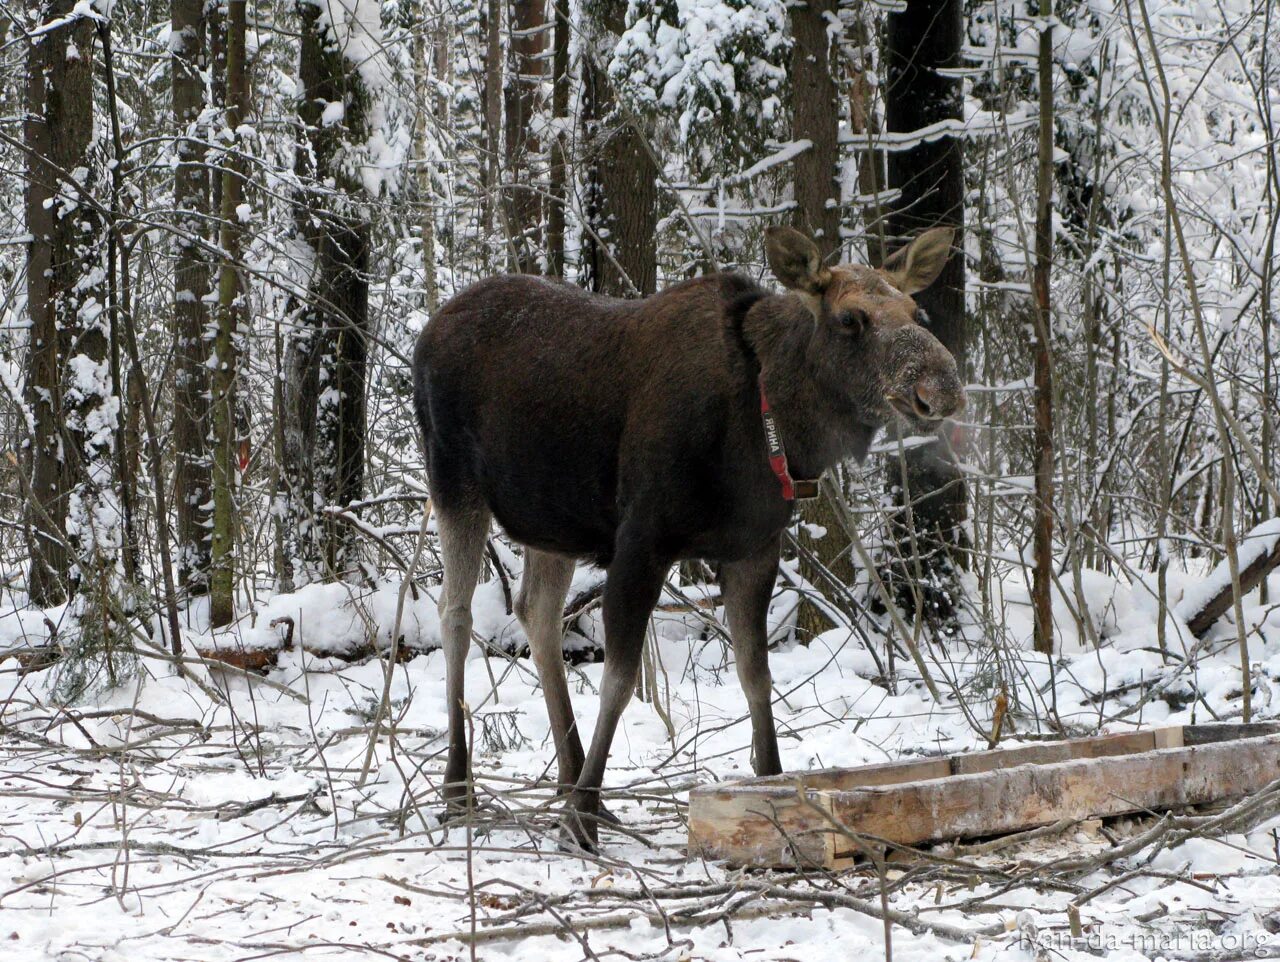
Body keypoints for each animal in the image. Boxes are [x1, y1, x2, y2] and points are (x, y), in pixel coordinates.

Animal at [414, 227, 962, 849]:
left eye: (916, 311)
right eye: (850, 318)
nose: (941, 387)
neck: (773, 428)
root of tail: (426, 333)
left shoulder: (755, 549)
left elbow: (755, 673)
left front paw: (769, 783)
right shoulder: (642, 539)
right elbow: (621, 680)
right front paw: (580, 820)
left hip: (550, 519)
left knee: (536, 612)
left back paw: (568, 779)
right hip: (453, 480)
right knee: (455, 614)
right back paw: (463, 789)